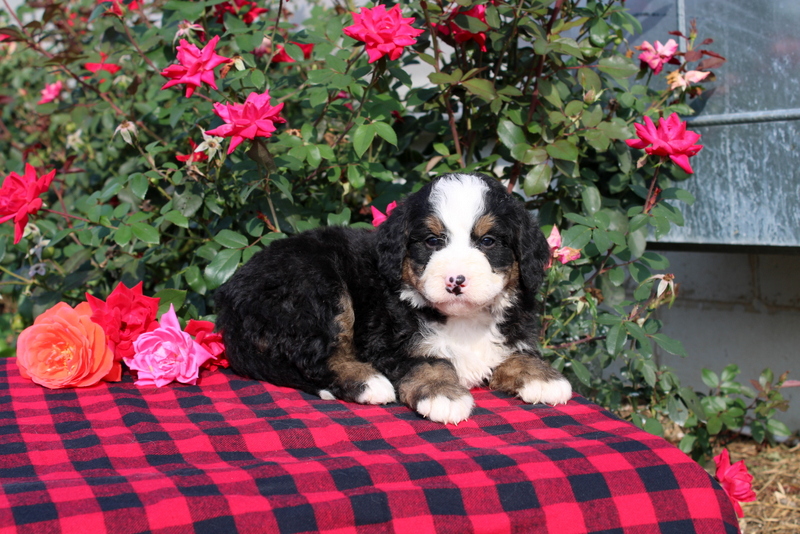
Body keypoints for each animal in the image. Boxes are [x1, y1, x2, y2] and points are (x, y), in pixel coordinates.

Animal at [216, 174, 572, 426]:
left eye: (488, 241)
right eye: (432, 241)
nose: (455, 280)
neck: (462, 321)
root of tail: (230, 301)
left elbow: (517, 354)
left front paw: (544, 378)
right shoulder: (387, 343)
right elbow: (429, 362)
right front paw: (443, 394)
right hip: (316, 291)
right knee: (315, 356)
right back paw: (367, 382)